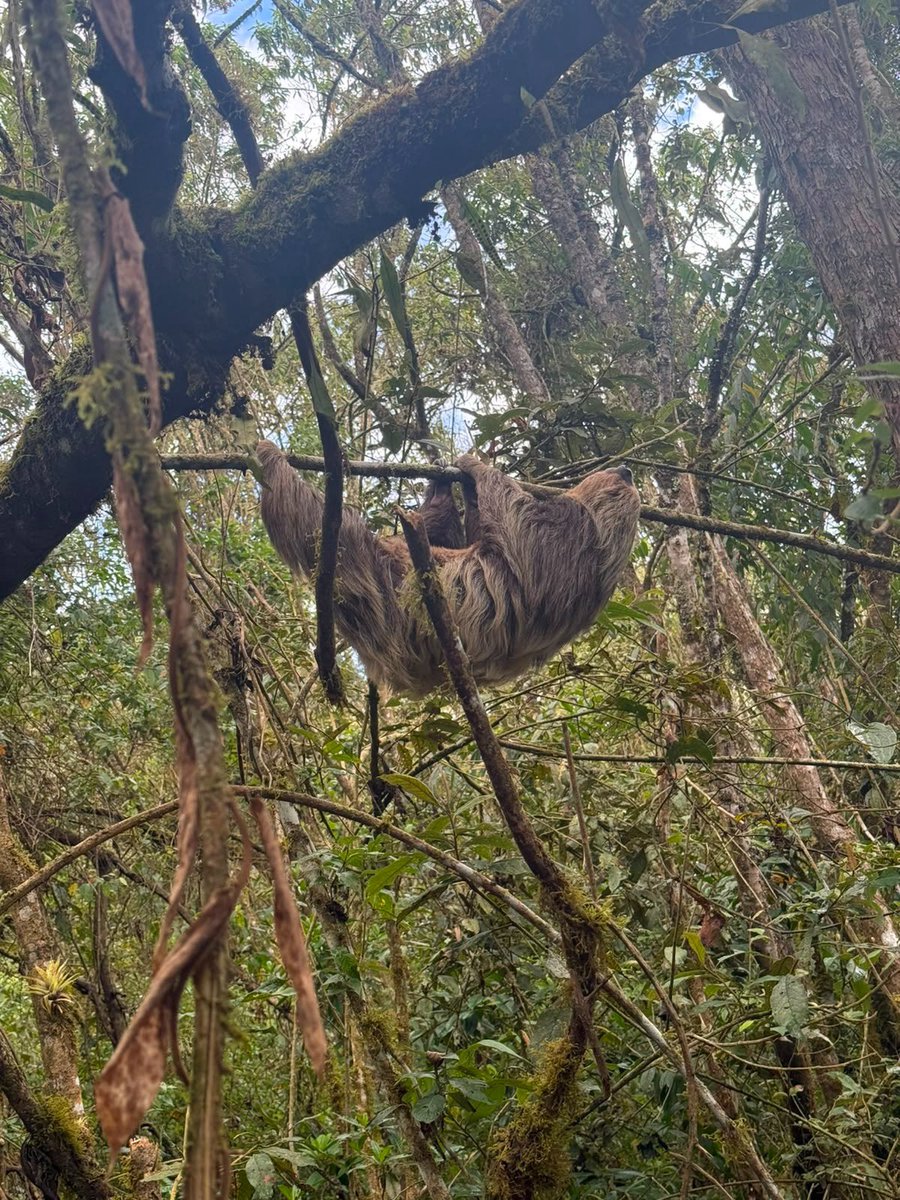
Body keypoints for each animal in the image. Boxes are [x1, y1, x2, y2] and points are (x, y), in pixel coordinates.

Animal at [257, 440, 640, 698]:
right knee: (429, 529)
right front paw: (462, 482)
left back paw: (269, 459)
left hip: (383, 587)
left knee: (326, 531)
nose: (626, 469)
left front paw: (477, 468)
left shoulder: (557, 529)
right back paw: (439, 489)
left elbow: (512, 513)